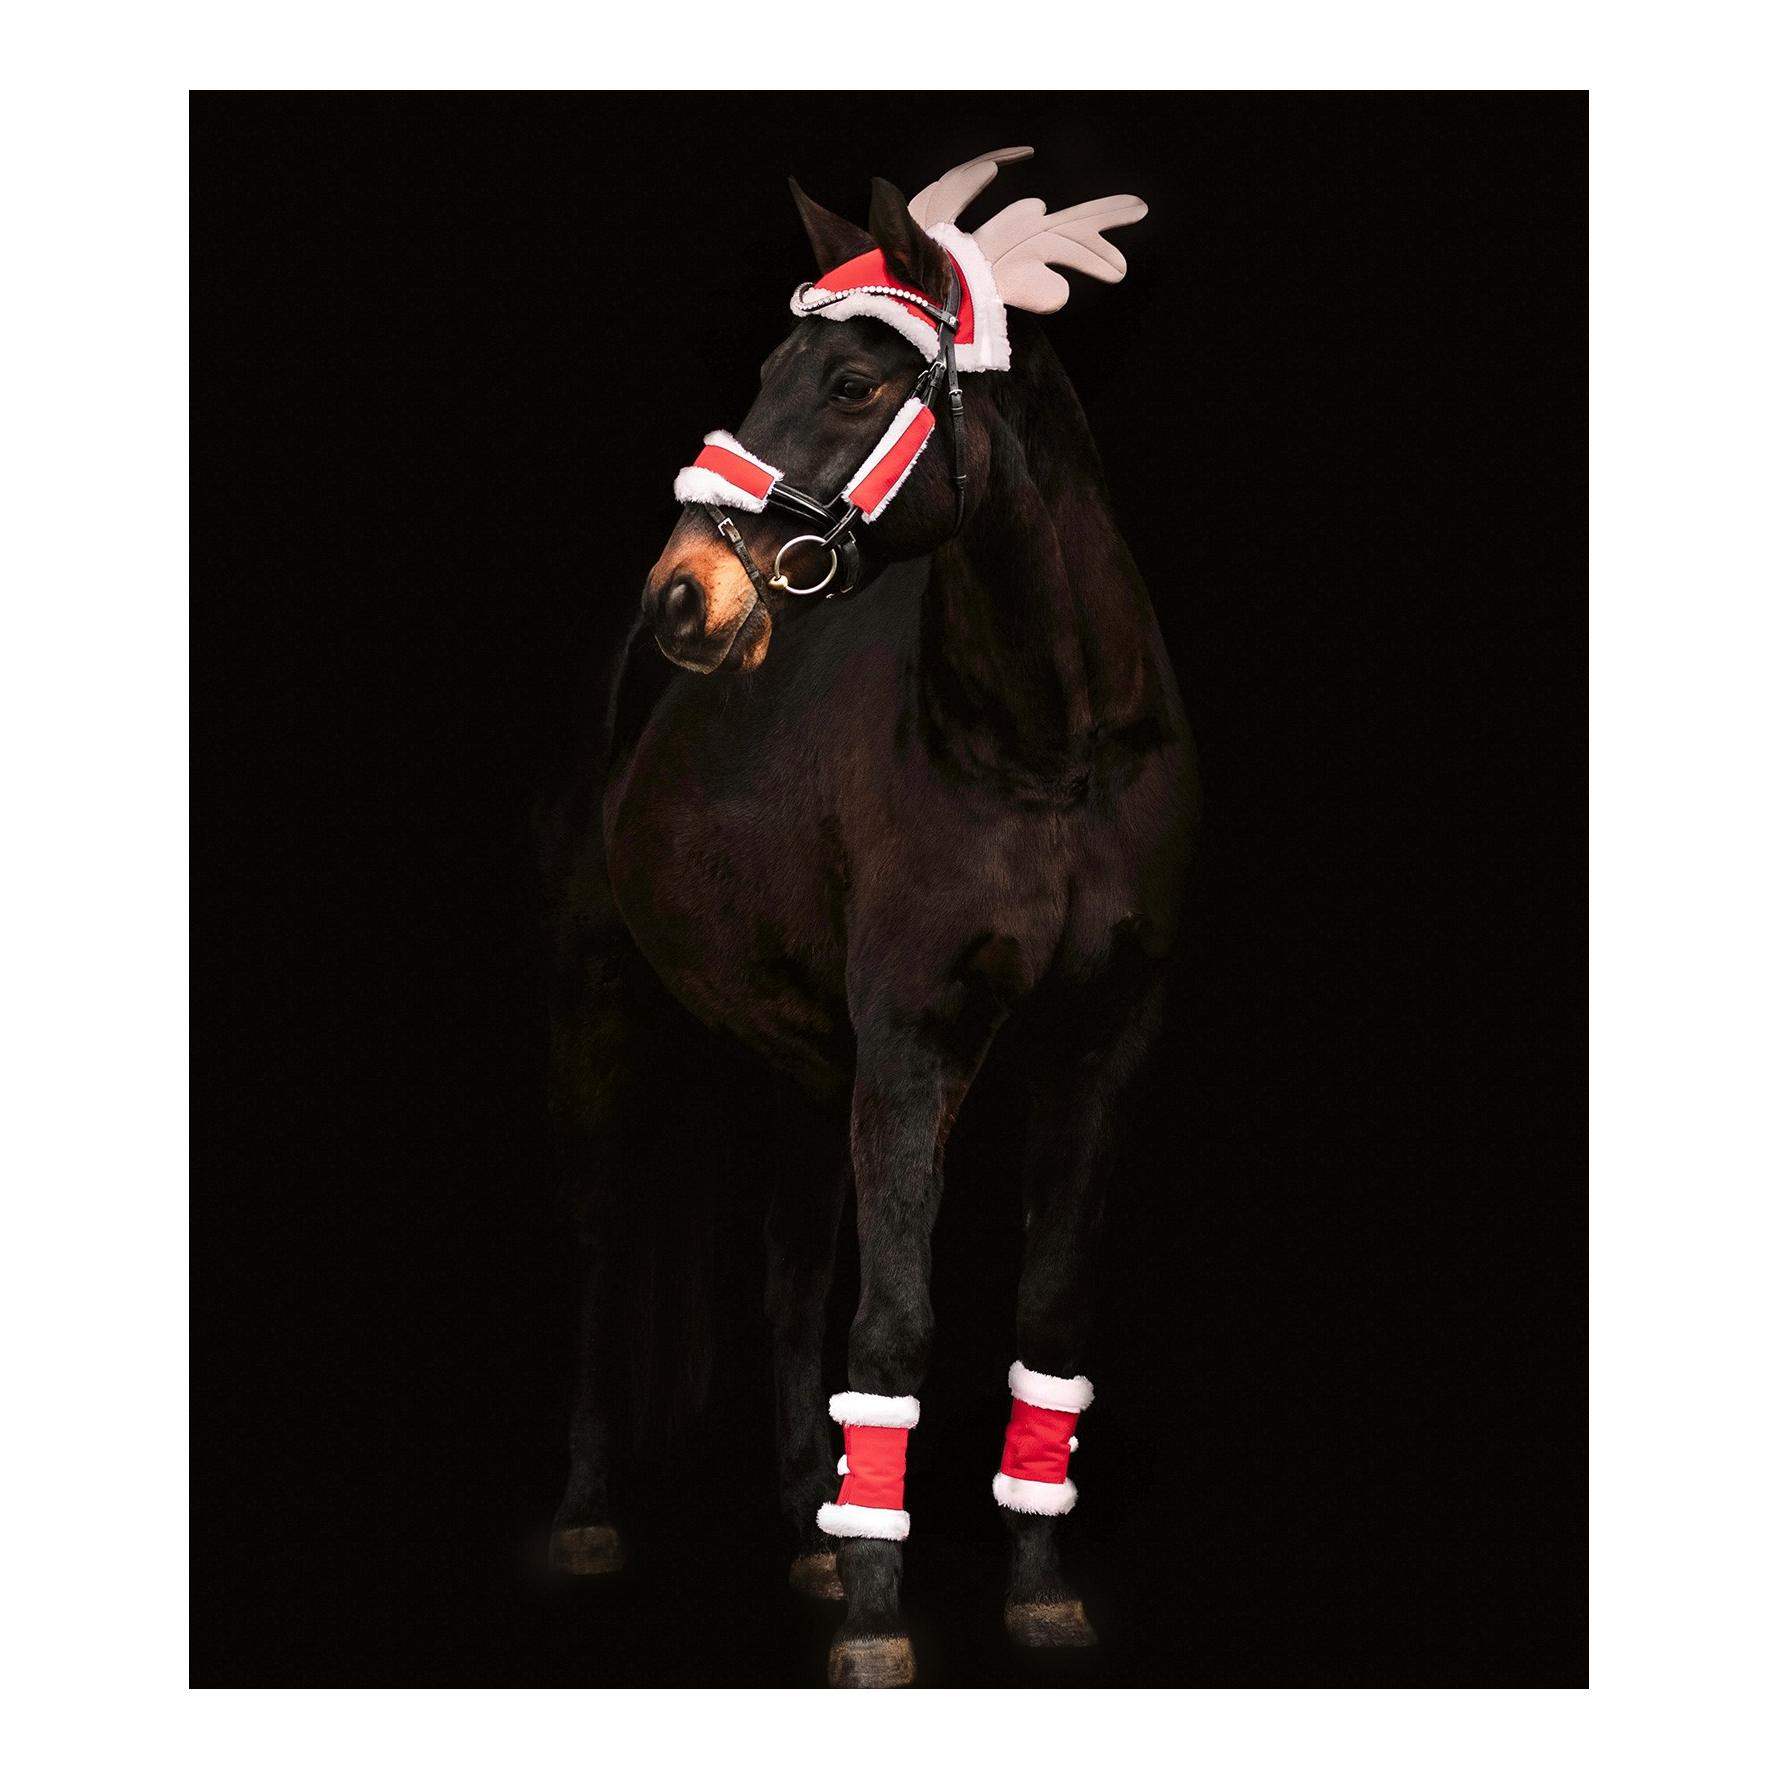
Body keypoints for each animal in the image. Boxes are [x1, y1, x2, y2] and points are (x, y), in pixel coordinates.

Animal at [534, 148, 1200, 1687]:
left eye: (849, 380)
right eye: (768, 366)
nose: (684, 594)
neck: (1049, 749)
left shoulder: (1100, 1048)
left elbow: (1046, 1313)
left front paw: (1034, 1591)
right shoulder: (910, 1049)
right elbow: (892, 1322)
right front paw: (877, 1623)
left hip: (801, 1063)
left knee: (787, 1272)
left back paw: (803, 1522)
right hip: (604, 1011)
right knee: (598, 1254)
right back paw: (594, 1515)